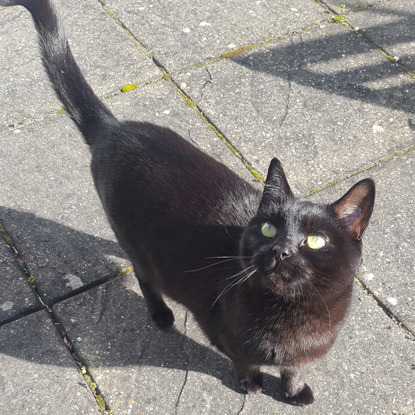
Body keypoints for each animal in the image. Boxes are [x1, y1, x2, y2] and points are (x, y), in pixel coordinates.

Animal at [0, 0, 376, 406]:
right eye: (268, 228)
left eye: (315, 240)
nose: (281, 250)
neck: (293, 315)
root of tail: (113, 129)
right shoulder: (217, 328)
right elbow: (244, 361)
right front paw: (252, 384)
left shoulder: (301, 352)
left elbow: (294, 369)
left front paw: (294, 393)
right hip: (138, 246)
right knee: (144, 275)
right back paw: (161, 315)